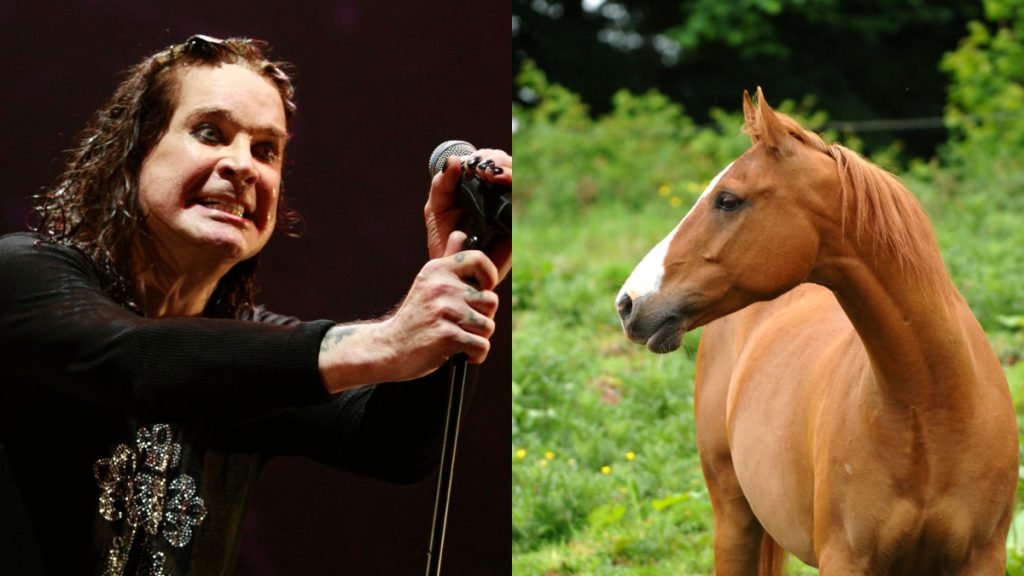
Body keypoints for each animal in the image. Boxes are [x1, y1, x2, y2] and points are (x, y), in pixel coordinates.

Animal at [616, 88, 1018, 575]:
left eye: (728, 200)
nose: (628, 302)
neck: (931, 409)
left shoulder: (983, 557)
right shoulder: (844, 559)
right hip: (733, 519)